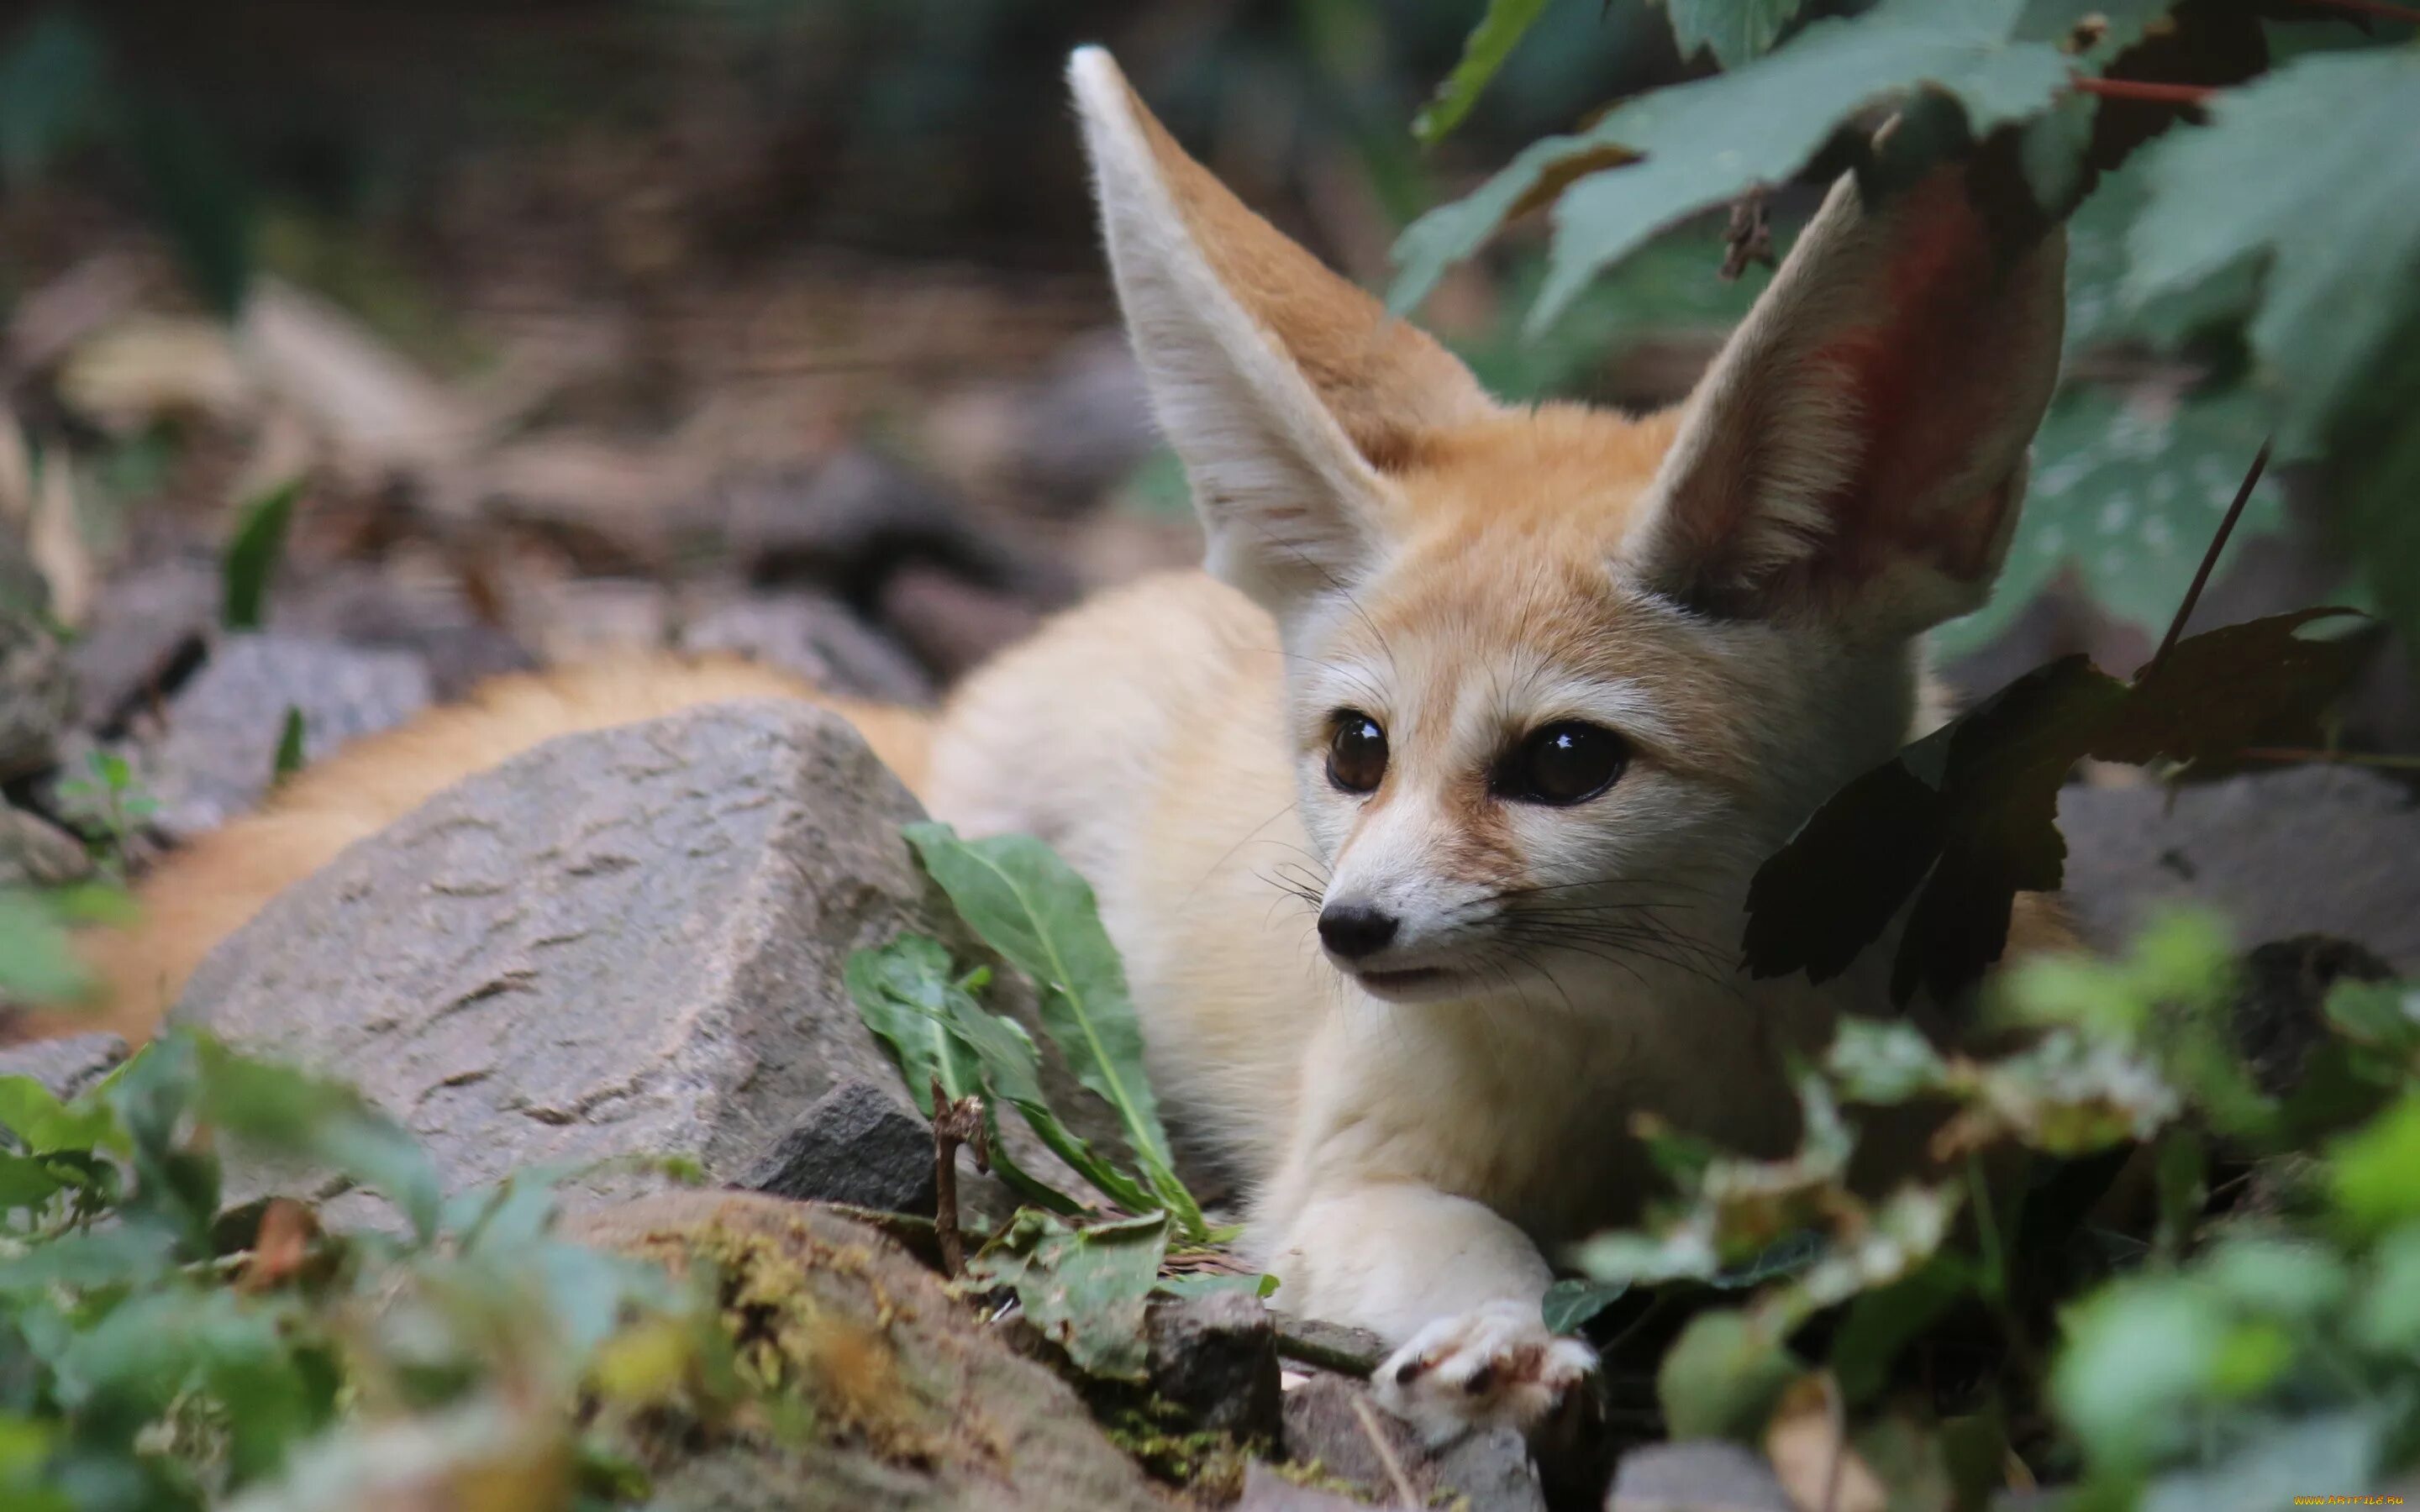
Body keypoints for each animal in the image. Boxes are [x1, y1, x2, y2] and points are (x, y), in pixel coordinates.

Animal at [76, 47, 2061, 1431]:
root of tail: (954, 695)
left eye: (1566, 765)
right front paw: (1498, 1337)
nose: (1346, 930)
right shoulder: (1343, 1178)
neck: (1654, 1071)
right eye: (1356, 748)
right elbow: (1466, 1242)